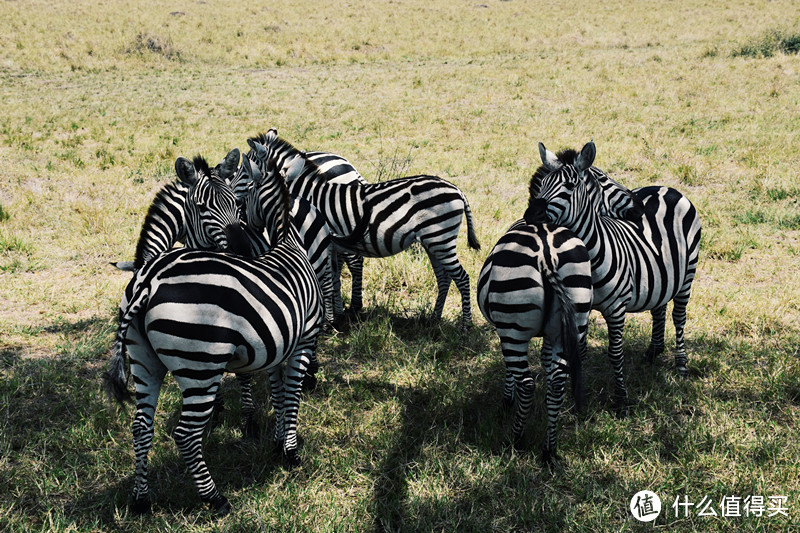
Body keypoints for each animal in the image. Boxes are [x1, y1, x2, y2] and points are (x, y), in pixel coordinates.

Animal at [103, 148, 322, 512]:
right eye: (203, 206)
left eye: (238, 201)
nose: (244, 247)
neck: (287, 242)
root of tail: (149, 281)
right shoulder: (303, 339)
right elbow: (291, 395)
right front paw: (290, 451)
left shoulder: (280, 344)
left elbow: (278, 393)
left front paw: (278, 441)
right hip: (200, 365)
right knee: (185, 434)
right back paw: (216, 499)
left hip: (144, 360)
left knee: (141, 427)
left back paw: (141, 500)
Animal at [244, 131, 482, 326]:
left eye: (245, 173)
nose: (248, 220)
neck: (313, 195)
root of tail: (456, 189)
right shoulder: (333, 246)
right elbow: (335, 278)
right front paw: (338, 315)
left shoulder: (320, 242)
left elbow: (326, 280)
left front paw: (328, 320)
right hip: (434, 242)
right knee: (444, 277)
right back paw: (434, 319)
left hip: (440, 238)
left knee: (462, 278)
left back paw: (466, 326)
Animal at [476, 220, 592, 462]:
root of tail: (547, 255)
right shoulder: (552, 335)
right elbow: (546, 362)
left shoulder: (504, 330)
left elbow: (510, 371)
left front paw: (507, 400)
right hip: (575, 311)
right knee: (557, 383)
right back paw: (549, 450)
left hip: (513, 328)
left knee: (527, 384)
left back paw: (515, 439)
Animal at [528, 139, 704, 410]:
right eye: (543, 185)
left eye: (570, 186)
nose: (530, 214)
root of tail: (665, 188)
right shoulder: (579, 307)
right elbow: (579, 350)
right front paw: (574, 397)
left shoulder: (617, 309)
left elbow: (615, 353)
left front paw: (621, 399)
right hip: (662, 273)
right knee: (659, 308)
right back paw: (654, 351)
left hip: (688, 274)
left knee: (679, 317)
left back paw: (682, 364)